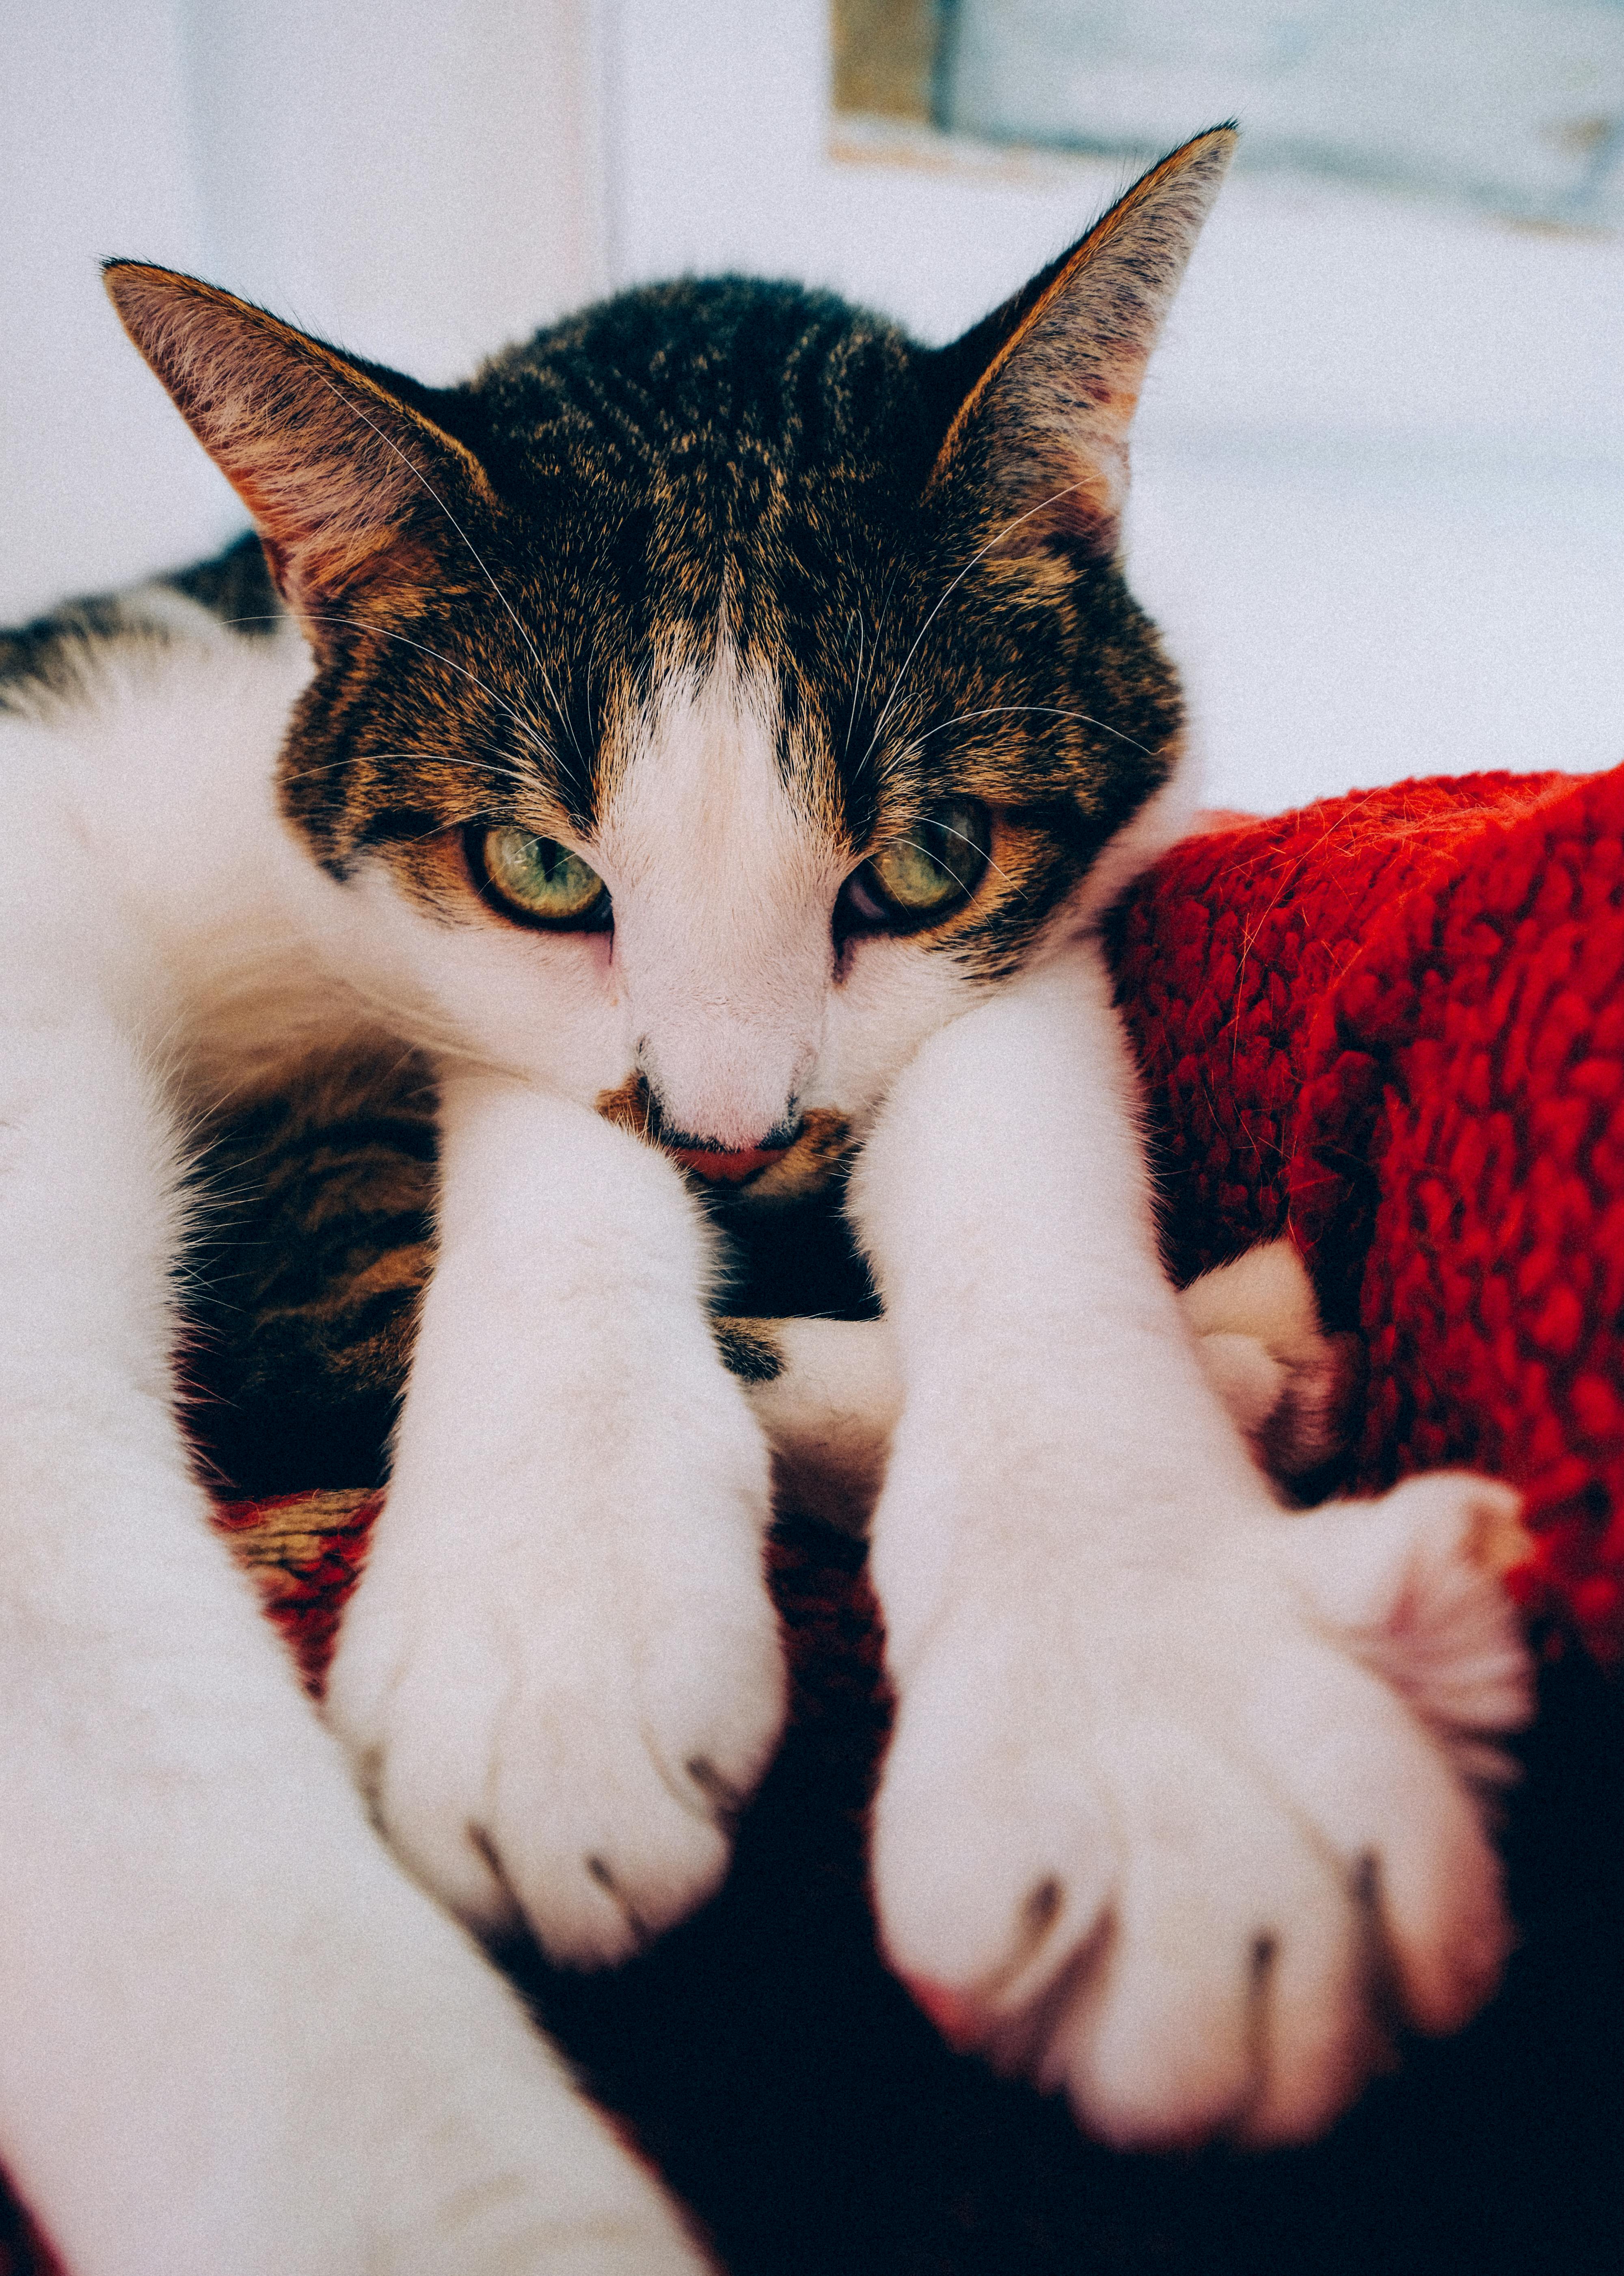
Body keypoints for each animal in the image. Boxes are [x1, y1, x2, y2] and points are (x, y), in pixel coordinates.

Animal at [0, 129, 1528, 2276]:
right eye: (541, 874)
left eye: (922, 861)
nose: (731, 1136)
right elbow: (493, 1199)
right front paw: (555, 1616)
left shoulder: (1035, 915)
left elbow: (1007, 1116)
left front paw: (1141, 1673)